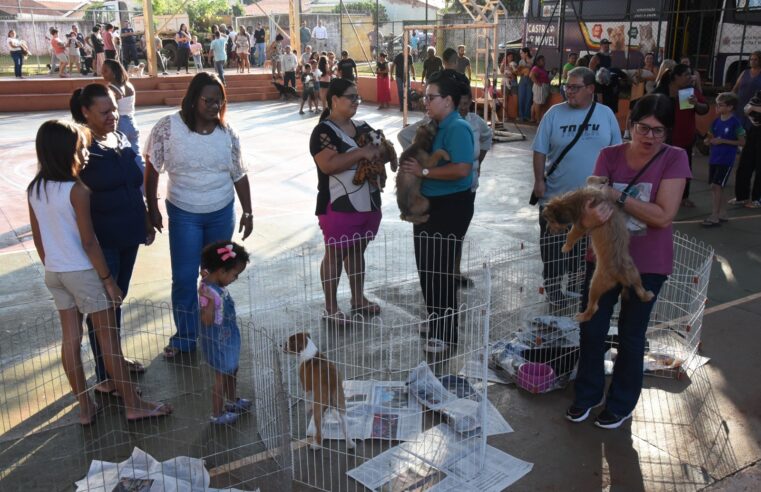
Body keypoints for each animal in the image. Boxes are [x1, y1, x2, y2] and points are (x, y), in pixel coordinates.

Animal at [540, 177, 652, 322]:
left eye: (551, 221)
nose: (547, 231)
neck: (577, 198)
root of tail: (621, 275)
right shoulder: (594, 188)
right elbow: (591, 178)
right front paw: (603, 179)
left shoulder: (581, 225)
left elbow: (571, 235)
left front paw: (566, 246)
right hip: (634, 273)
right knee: (639, 288)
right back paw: (647, 295)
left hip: (595, 284)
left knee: (593, 307)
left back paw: (582, 316)